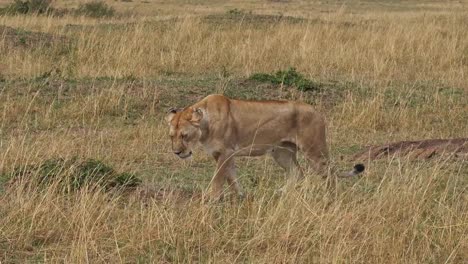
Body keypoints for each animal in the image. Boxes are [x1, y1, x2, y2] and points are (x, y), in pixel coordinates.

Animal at [165, 94, 366, 199]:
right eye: (171, 136)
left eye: (184, 135)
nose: (177, 152)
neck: (205, 125)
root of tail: (317, 111)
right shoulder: (222, 154)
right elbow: (231, 176)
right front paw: (240, 195)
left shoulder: (226, 151)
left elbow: (218, 178)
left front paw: (212, 198)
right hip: (282, 152)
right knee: (297, 173)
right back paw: (282, 193)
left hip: (314, 150)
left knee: (330, 175)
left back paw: (331, 196)